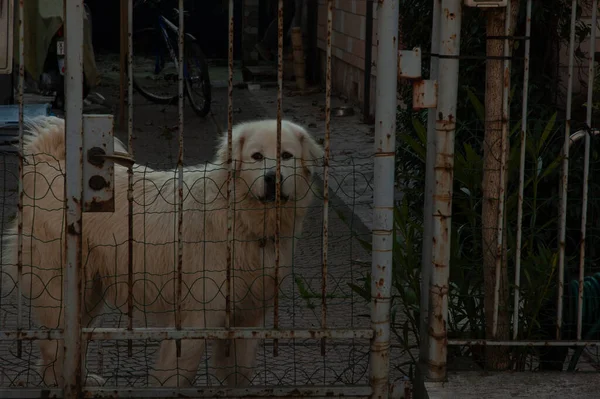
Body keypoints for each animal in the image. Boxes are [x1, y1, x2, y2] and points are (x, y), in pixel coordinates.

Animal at [1, 117, 324, 390]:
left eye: (286, 156)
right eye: (257, 157)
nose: (272, 178)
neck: (241, 217)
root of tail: (51, 164)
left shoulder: (248, 316)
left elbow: (238, 373)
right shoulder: (199, 314)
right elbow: (179, 371)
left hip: (90, 293)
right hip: (63, 290)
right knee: (54, 344)